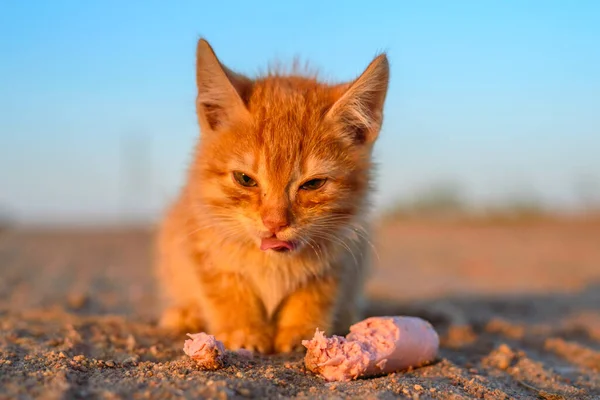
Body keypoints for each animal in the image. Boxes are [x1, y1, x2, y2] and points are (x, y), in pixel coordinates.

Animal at [155, 38, 390, 354]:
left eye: (313, 184)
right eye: (245, 179)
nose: (275, 223)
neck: (273, 263)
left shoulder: (340, 255)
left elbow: (315, 294)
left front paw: (301, 331)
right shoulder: (202, 242)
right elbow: (225, 290)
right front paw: (243, 330)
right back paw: (185, 314)